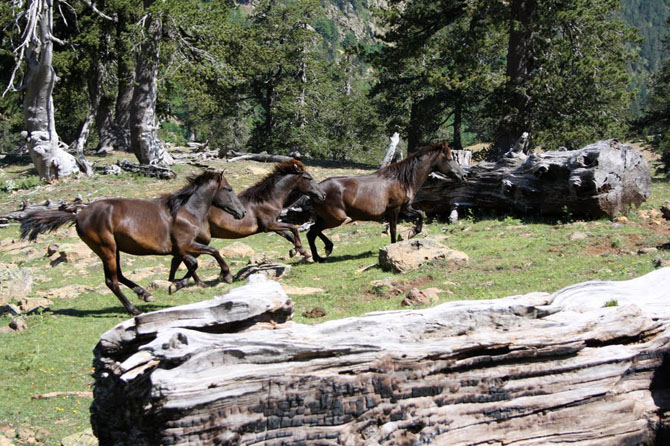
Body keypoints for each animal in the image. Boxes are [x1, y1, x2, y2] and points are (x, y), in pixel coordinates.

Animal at [20, 170, 247, 314]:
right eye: (228, 189)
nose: (242, 212)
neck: (185, 212)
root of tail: (77, 216)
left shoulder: (181, 250)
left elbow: (192, 263)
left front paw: (177, 284)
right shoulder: (185, 246)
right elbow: (209, 254)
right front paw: (224, 275)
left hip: (114, 250)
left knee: (119, 276)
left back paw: (144, 294)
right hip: (107, 248)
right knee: (112, 281)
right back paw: (134, 309)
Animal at [167, 160, 326, 290]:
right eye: (308, 178)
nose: (323, 195)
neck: (267, 200)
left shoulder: (273, 226)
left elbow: (289, 234)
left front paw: (300, 252)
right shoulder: (270, 225)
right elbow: (293, 228)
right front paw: (299, 250)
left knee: (178, 259)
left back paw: (177, 283)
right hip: (199, 240)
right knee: (184, 259)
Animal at [306, 142, 468, 262]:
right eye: (449, 158)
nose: (463, 175)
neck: (402, 180)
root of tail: (317, 190)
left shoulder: (405, 207)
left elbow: (420, 214)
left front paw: (413, 232)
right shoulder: (394, 210)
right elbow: (394, 230)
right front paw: (394, 248)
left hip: (328, 218)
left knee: (311, 233)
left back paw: (319, 256)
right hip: (336, 219)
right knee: (313, 231)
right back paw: (326, 249)